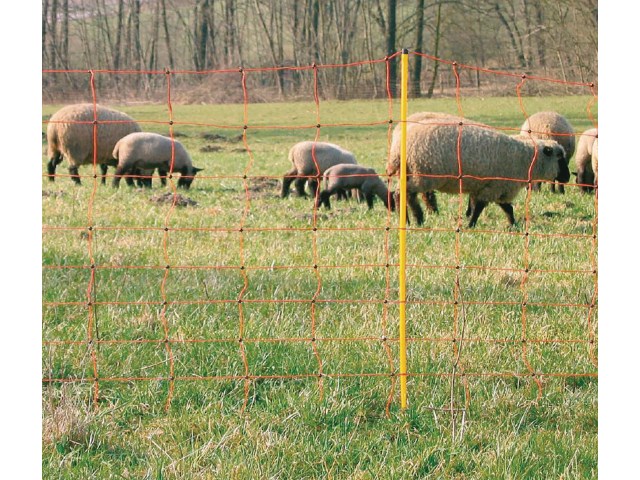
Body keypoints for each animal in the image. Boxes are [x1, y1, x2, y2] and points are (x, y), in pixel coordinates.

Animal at [384, 121, 568, 228]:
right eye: (559, 157)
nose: (566, 178)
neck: (525, 158)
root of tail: (397, 148)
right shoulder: (495, 186)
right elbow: (480, 207)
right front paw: (471, 225)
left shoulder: (496, 188)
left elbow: (506, 208)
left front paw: (512, 224)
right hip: (423, 174)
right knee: (403, 194)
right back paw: (411, 220)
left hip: (413, 173)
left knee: (407, 195)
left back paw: (415, 220)